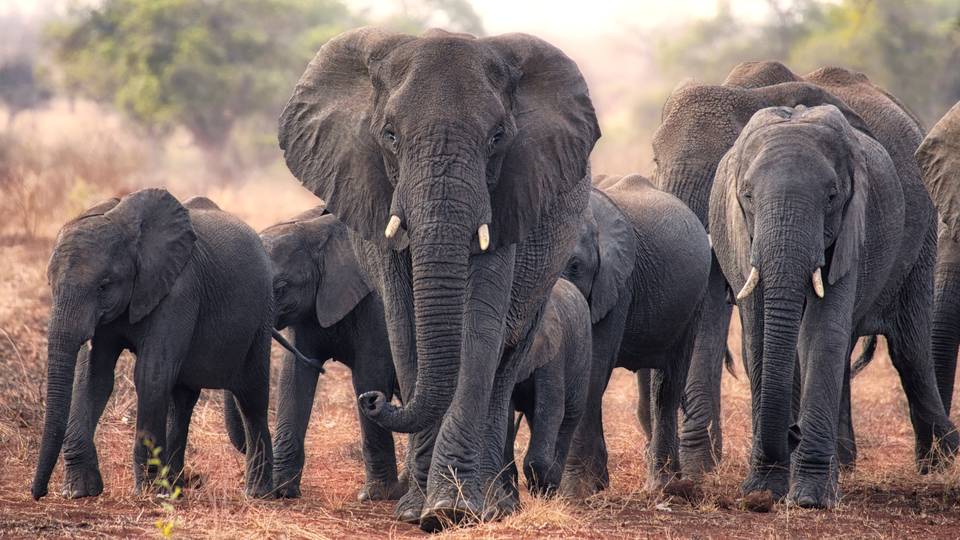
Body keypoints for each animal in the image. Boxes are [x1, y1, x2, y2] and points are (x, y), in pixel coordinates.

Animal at [32, 190, 276, 500]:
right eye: (50, 284)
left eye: (104, 286)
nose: (38, 493)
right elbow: (94, 378)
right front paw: (80, 491)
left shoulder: (180, 291)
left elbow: (150, 375)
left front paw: (146, 493)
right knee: (182, 400)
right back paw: (175, 487)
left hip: (261, 318)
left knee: (252, 398)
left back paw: (258, 493)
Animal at [278, 28, 599, 529]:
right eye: (390, 135)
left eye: (497, 137)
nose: (372, 399)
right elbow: (404, 324)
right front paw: (416, 509)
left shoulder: (509, 194)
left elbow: (480, 327)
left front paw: (450, 509)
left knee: (507, 361)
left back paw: (496, 504)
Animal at [558, 174, 712, 495]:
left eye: (575, 266)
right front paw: (594, 487)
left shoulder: (617, 285)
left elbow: (591, 373)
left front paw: (573, 493)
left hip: (694, 304)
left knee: (666, 388)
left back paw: (663, 487)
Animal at [653, 60, 934, 474]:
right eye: (655, 161)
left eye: (718, 167)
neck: (743, 93)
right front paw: (700, 469)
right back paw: (842, 460)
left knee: (910, 346)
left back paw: (936, 461)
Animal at [709, 104, 957, 508]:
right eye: (746, 196)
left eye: (831, 198)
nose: (792, 431)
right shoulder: (738, 237)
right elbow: (759, 337)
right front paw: (763, 491)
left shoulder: (853, 229)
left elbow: (820, 333)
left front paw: (810, 499)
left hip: (921, 240)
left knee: (909, 351)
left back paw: (941, 463)